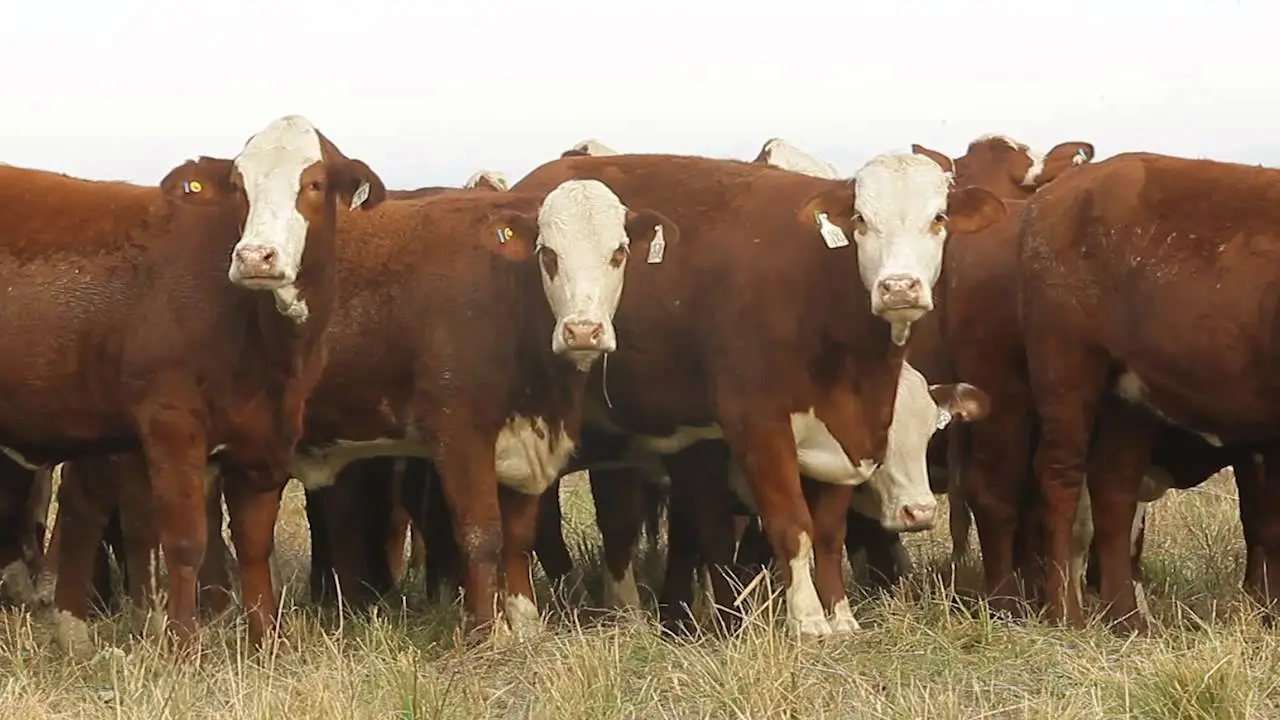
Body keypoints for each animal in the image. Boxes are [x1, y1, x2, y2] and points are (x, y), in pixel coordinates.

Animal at [1, 114, 387, 655]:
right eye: (239, 186)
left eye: (312, 184)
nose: (255, 257)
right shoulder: (172, 424)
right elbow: (186, 543)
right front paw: (184, 648)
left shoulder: (264, 440)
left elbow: (253, 545)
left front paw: (266, 643)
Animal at [509, 151, 1005, 636]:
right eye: (861, 219)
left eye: (938, 217)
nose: (899, 287)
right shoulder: (758, 426)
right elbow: (791, 524)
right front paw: (808, 621)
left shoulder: (842, 439)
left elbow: (828, 532)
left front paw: (841, 617)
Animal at [1016, 152, 1280, 632]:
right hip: (1067, 369)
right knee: (1061, 476)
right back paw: (1065, 612)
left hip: (1130, 395)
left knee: (1113, 488)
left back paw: (1126, 618)